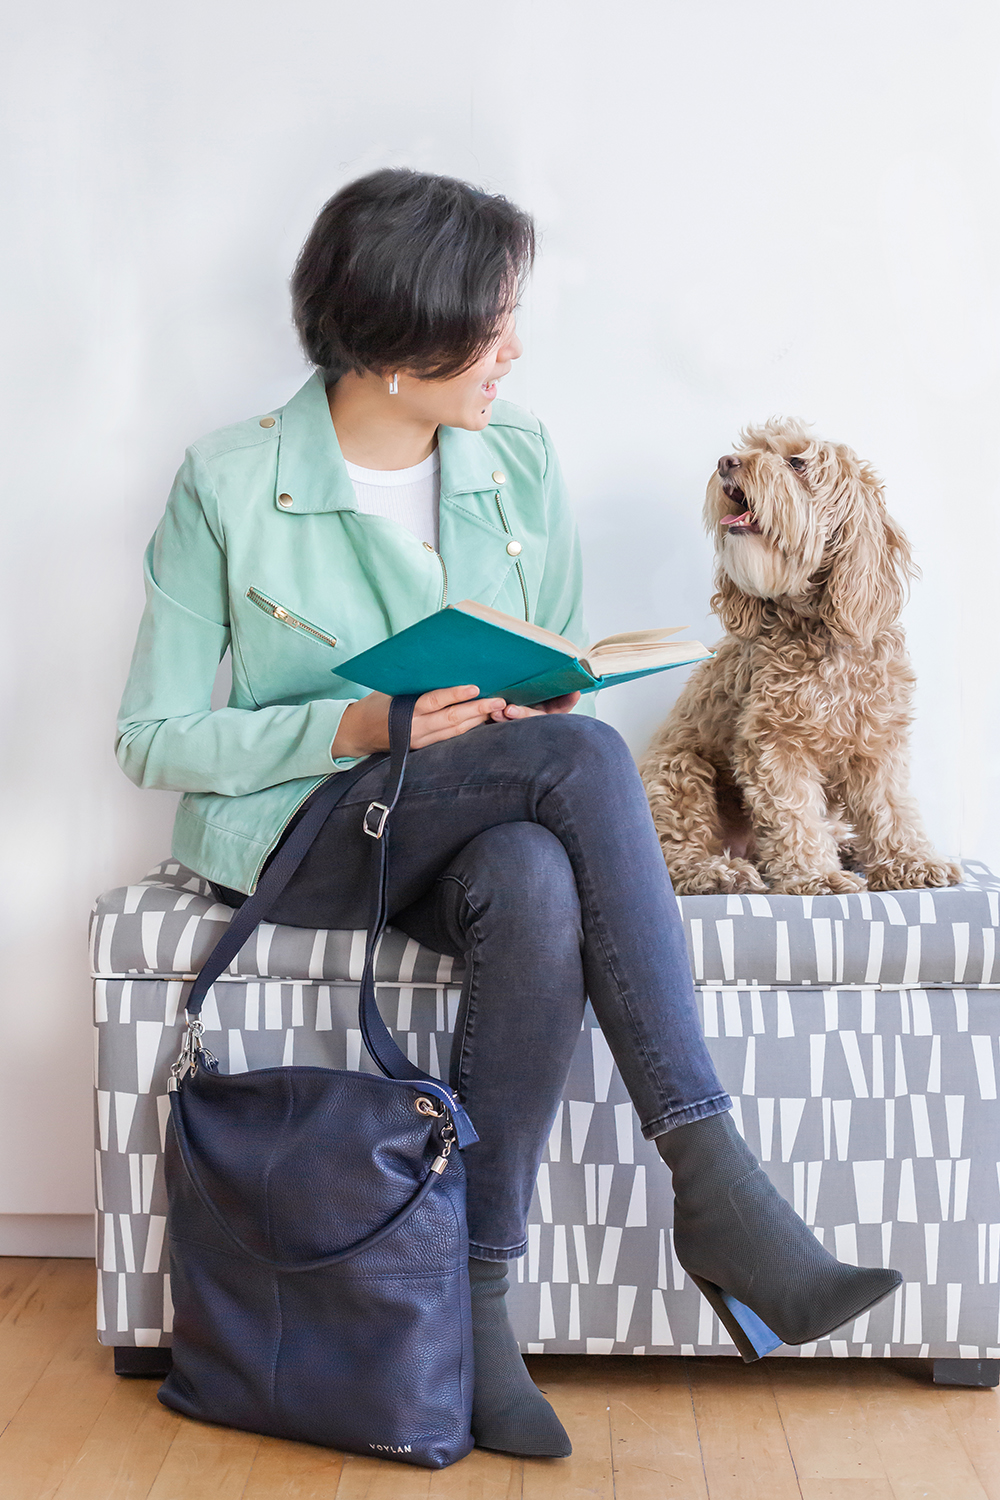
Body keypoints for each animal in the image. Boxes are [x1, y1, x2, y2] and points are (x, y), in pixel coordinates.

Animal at [641, 417, 959, 894]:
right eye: (749, 448)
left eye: (796, 463)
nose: (725, 462)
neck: (820, 629)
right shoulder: (775, 742)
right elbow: (793, 813)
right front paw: (816, 875)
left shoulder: (877, 740)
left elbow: (890, 804)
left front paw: (909, 861)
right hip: (678, 771)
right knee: (675, 858)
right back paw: (718, 872)